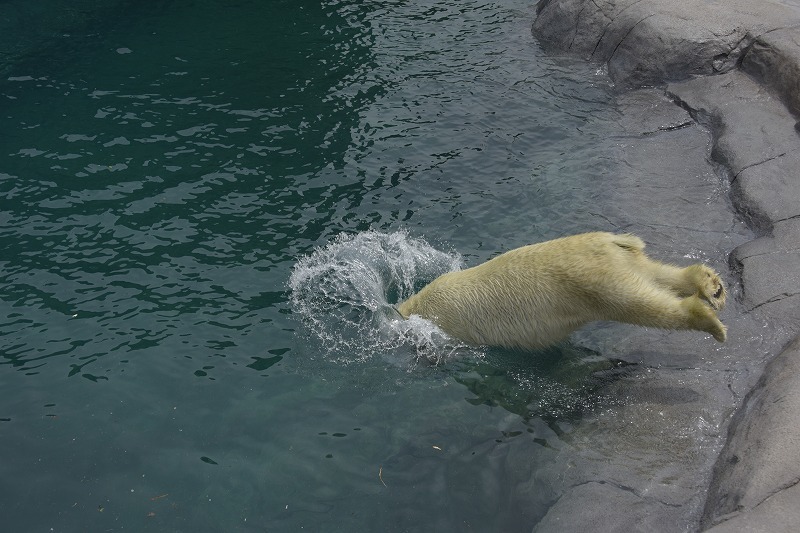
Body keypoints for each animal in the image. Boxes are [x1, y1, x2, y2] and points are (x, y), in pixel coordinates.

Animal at [396, 232, 728, 350]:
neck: (420, 303)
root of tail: (610, 239)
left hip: (593, 283)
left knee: (643, 305)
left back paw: (709, 321)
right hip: (619, 262)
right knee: (653, 275)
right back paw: (711, 285)